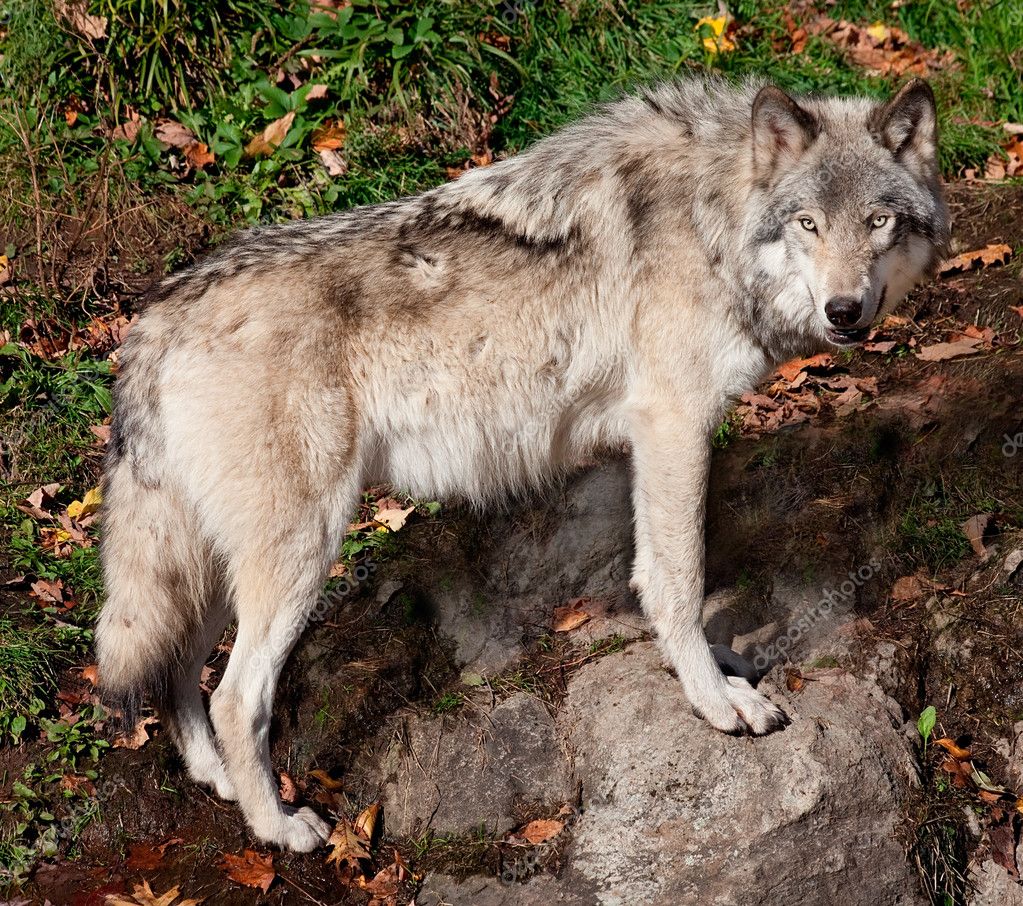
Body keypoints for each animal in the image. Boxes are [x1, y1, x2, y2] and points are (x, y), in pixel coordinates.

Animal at [96, 74, 949, 851]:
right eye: (807, 223)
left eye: (877, 221)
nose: (844, 311)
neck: (714, 216)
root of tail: (154, 315)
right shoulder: (673, 423)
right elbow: (677, 580)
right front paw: (715, 702)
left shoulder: (655, 438)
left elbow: (661, 573)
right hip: (301, 550)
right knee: (236, 696)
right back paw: (278, 828)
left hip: (217, 566)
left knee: (178, 671)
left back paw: (217, 781)